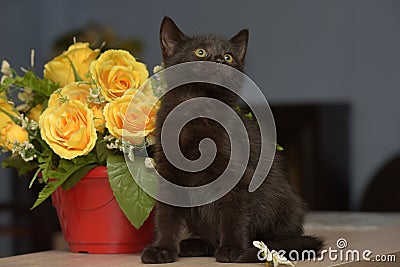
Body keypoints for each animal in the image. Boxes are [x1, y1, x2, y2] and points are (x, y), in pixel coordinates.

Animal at [140, 17, 322, 266]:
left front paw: (232, 248)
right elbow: (166, 215)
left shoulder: (238, 174)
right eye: (200, 52)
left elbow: (233, 213)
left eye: (228, 57)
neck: (200, 110)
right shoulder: (168, 172)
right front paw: (162, 248)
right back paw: (193, 245)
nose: (219, 60)